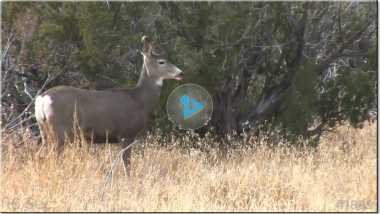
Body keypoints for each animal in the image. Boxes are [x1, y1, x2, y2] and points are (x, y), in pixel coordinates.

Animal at [34, 36, 184, 175]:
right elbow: (127, 167)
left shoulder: (113, 140)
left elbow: (113, 168)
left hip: (45, 130)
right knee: (53, 156)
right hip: (62, 131)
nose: (180, 73)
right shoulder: (126, 134)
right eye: (161, 62)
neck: (141, 101)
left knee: (39, 155)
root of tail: (42, 98)